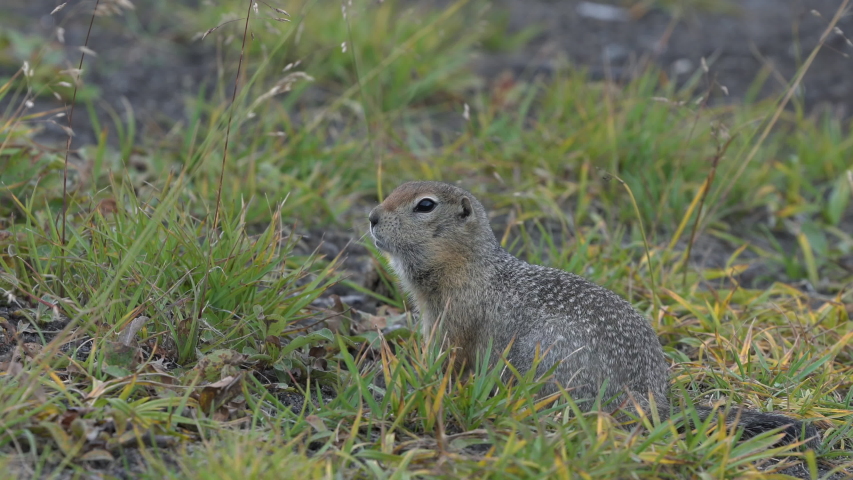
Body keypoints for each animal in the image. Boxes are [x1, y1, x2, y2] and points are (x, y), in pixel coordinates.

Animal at [366, 181, 820, 450]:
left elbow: (446, 357)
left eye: (425, 205)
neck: (468, 264)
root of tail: (655, 404)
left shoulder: (454, 317)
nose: (371, 217)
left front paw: (415, 378)